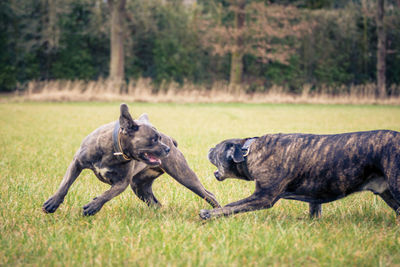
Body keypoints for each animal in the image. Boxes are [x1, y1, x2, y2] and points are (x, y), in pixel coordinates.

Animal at [42, 103, 220, 217]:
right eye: (154, 139)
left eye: (159, 138)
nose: (167, 149)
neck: (112, 149)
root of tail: (172, 140)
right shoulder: (77, 163)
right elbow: (65, 184)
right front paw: (53, 203)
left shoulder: (122, 182)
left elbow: (107, 194)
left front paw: (93, 206)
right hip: (140, 186)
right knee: (155, 203)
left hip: (183, 175)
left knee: (208, 194)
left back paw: (216, 212)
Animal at [202, 131, 400, 221]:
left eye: (217, 149)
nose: (209, 149)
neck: (248, 152)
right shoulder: (315, 196)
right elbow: (315, 210)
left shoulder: (263, 197)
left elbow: (233, 206)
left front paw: (209, 214)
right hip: (388, 193)